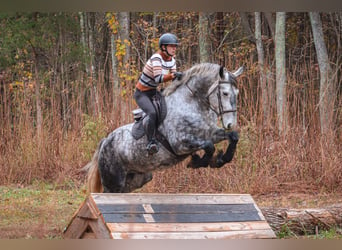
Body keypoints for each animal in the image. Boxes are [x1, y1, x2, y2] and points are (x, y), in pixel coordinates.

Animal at [84, 63, 244, 192]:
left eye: (237, 93)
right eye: (225, 93)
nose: (230, 124)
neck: (192, 104)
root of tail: (105, 141)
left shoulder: (210, 133)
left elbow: (233, 137)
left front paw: (221, 159)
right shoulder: (179, 144)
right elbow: (209, 146)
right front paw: (199, 161)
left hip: (136, 180)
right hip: (113, 182)